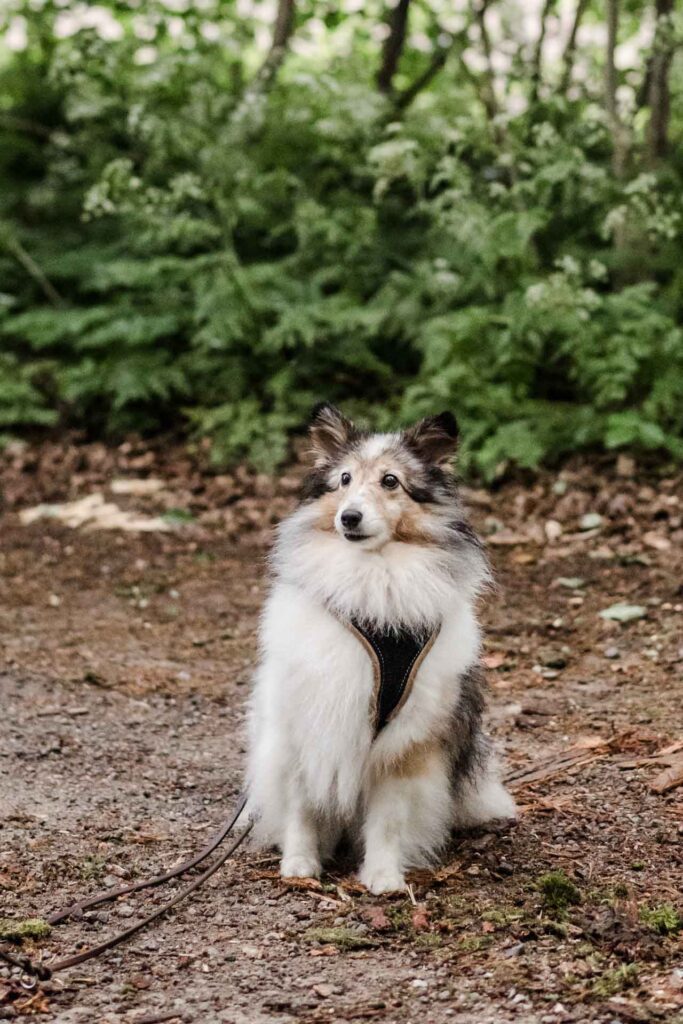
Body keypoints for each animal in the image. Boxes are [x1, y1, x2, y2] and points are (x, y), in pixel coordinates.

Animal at [246, 403, 518, 892]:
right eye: (344, 479)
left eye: (391, 481)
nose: (349, 518)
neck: (371, 578)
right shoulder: (308, 718)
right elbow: (302, 805)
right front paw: (299, 864)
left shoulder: (408, 738)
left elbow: (389, 818)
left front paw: (384, 876)